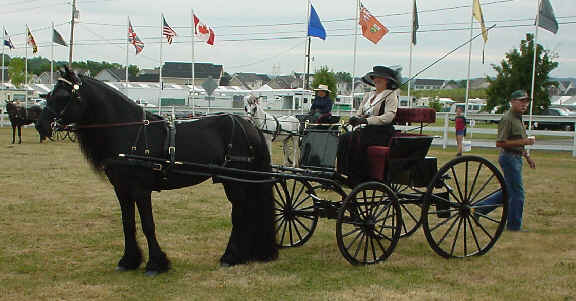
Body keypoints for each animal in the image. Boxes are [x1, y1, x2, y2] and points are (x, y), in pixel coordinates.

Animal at [45, 68, 280, 274]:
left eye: (63, 95)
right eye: (49, 94)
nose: (42, 124)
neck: (129, 132)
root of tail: (249, 126)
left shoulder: (140, 190)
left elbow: (148, 225)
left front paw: (156, 264)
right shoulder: (121, 189)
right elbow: (127, 223)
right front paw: (128, 261)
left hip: (235, 181)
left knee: (240, 213)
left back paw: (230, 257)